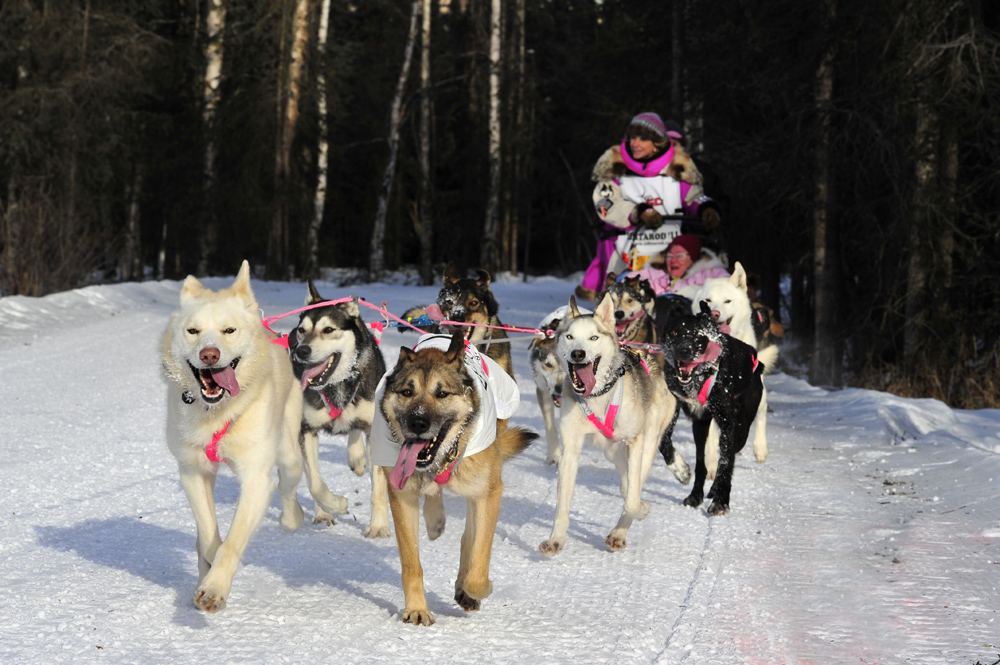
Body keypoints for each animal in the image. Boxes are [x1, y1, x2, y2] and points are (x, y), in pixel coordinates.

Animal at [370, 334, 540, 624]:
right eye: (407, 392)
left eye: (442, 393)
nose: (417, 423)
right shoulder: (402, 495)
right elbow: (411, 563)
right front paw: (416, 608)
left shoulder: (489, 494)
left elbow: (478, 561)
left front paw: (475, 590)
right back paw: (435, 519)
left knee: (468, 538)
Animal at [656, 300, 764, 512]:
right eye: (675, 333)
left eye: (699, 336)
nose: (685, 350)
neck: (700, 376)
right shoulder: (679, 407)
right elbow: (665, 442)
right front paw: (681, 470)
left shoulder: (728, 424)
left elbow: (726, 463)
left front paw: (721, 501)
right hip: (701, 427)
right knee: (702, 460)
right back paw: (696, 494)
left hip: (742, 427)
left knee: (730, 453)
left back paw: (715, 489)